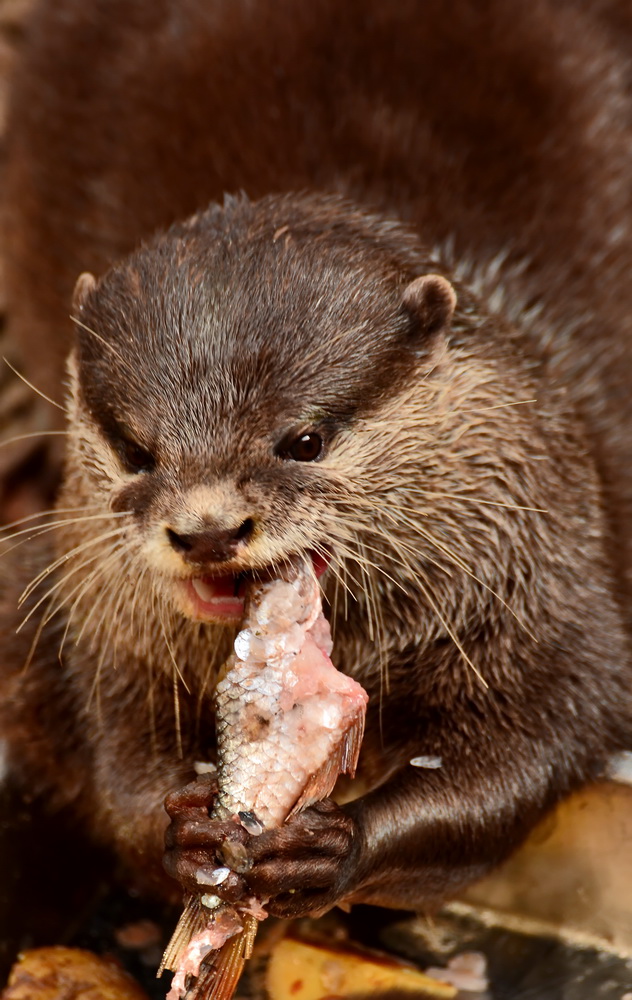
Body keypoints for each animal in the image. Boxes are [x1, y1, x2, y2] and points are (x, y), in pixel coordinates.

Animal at [1, 0, 632, 928]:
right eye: (136, 450)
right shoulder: (99, 634)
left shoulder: (550, 585)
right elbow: (114, 762)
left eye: (304, 440)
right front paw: (180, 829)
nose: (208, 529)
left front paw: (339, 844)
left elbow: (539, 740)